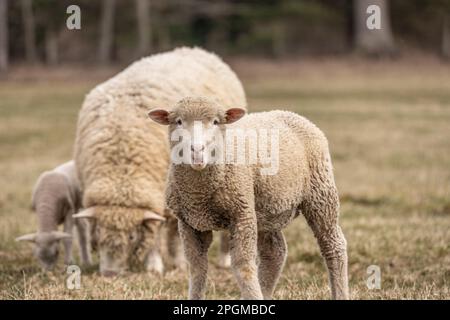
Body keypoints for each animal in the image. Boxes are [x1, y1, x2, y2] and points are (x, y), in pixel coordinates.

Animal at [73, 46, 246, 276]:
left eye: (132, 236)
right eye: (99, 232)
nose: (110, 274)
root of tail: (193, 49)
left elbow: (158, 233)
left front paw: (155, 265)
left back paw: (220, 260)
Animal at [149, 97, 350, 300]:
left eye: (216, 122)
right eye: (178, 121)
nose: (197, 151)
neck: (200, 195)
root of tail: (290, 113)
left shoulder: (241, 214)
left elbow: (242, 265)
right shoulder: (189, 223)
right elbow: (197, 268)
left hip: (321, 194)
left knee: (333, 245)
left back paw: (340, 292)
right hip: (266, 209)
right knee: (275, 252)